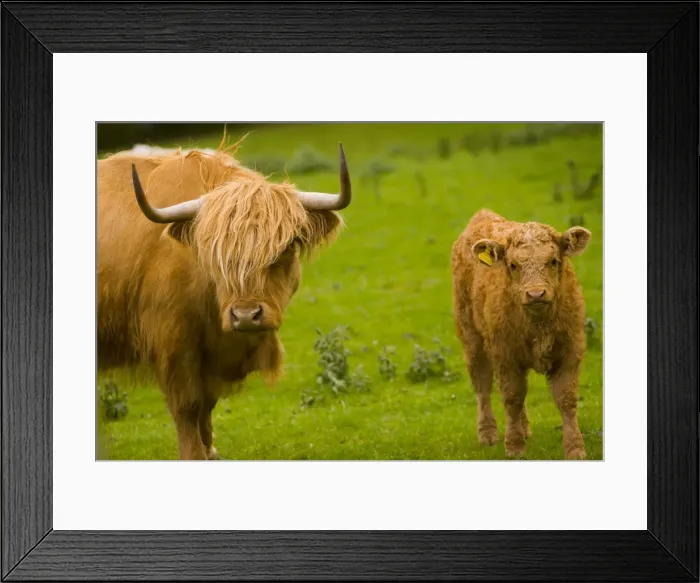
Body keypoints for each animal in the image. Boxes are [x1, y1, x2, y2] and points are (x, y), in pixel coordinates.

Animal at [97, 136, 353, 460]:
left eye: (286, 248)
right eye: (214, 253)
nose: (246, 316)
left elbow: (207, 404)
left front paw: (211, 452)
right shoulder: (172, 342)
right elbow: (188, 406)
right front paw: (194, 455)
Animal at [450, 209, 592, 460]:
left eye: (553, 261)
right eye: (513, 265)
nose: (535, 294)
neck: (537, 326)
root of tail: (483, 215)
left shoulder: (570, 350)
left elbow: (566, 399)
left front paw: (575, 448)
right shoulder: (504, 354)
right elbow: (512, 397)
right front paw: (514, 446)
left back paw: (524, 428)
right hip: (471, 339)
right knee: (482, 386)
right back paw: (488, 434)